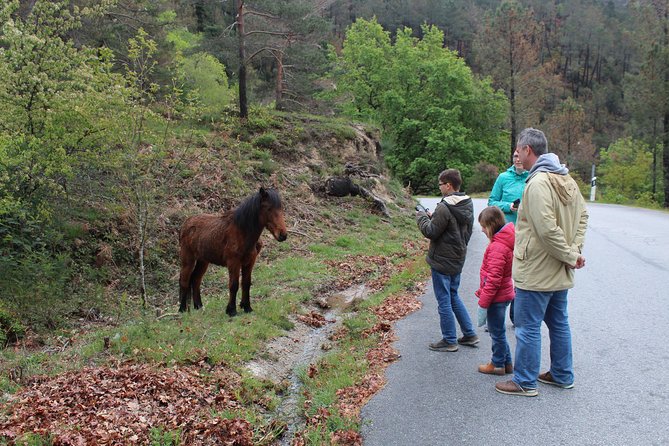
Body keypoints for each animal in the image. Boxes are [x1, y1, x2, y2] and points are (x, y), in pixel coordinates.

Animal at [180, 186, 288, 316]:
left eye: (281, 208)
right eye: (268, 208)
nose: (283, 235)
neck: (242, 232)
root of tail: (186, 223)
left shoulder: (249, 262)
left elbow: (246, 283)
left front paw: (247, 307)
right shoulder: (233, 262)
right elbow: (234, 285)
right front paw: (231, 310)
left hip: (203, 261)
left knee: (196, 279)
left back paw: (199, 306)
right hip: (188, 260)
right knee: (184, 281)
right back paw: (182, 309)